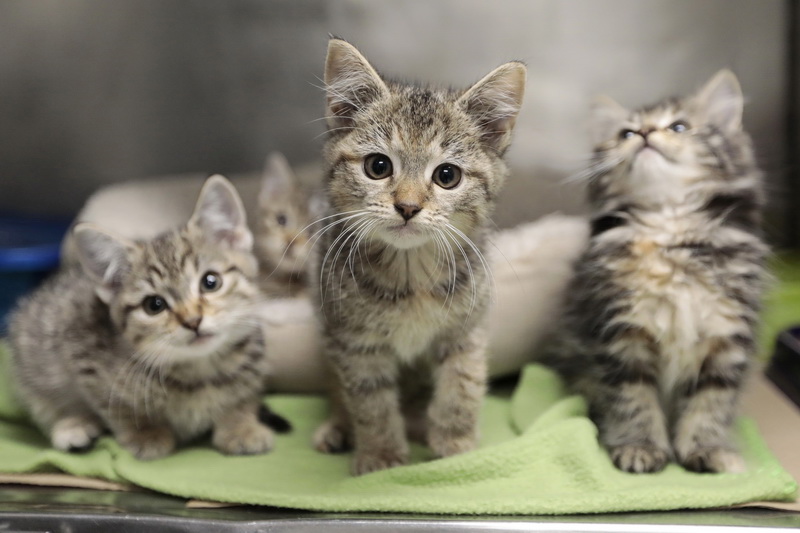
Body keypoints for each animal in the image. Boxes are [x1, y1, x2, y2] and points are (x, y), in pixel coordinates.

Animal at [10, 175, 288, 458]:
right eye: (154, 305)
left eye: (211, 282)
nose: (193, 321)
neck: (200, 370)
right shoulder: (81, 353)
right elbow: (116, 406)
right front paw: (146, 433)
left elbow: (243, 395)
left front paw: (240, 425)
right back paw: (73, 426)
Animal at [316, 39, 528, 476]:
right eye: (378, 166)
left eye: (447, 176)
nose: (408, 206)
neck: (411, 273)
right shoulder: (354, 342)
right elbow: (370, 401)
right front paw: (381, 455)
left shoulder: (466, 330)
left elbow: (461, 385)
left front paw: (456, 447)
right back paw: (337, 426)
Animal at [552, 70, 768, 474]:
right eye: (625, 133)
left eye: (678, 126)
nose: (646, 132)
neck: (670, 230)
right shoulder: (619, 334)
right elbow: (633, 400)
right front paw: (641, 447)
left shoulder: (727, 336)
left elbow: (711, 402)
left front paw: (706, 448)